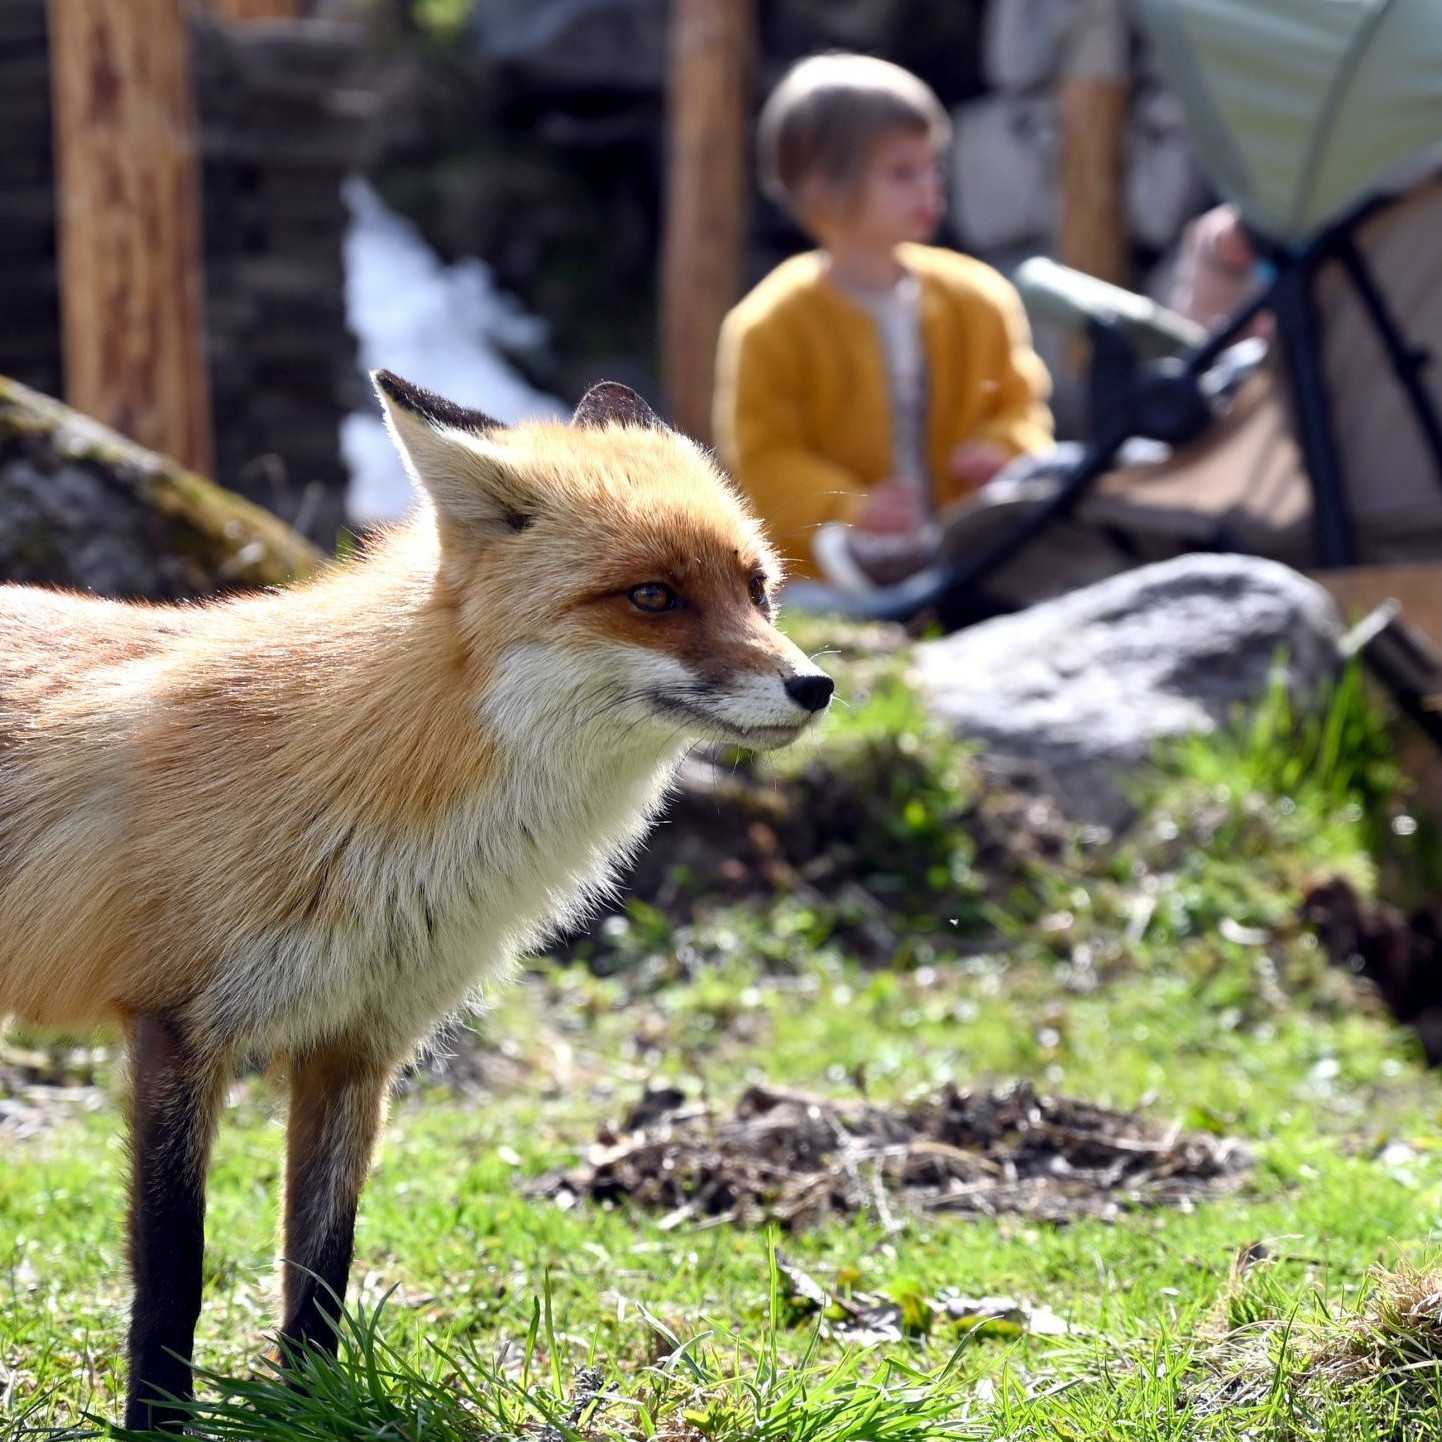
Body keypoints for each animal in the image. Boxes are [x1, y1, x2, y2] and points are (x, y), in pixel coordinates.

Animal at [0, 372, 836, 1430]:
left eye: (757, 588)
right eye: (653, 597)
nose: (816, 685)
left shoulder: (359, 1044)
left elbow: (323, 1266)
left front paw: (310, 1407)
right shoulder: (177, 1028)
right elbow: (173, 1273)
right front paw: (158, 1424)